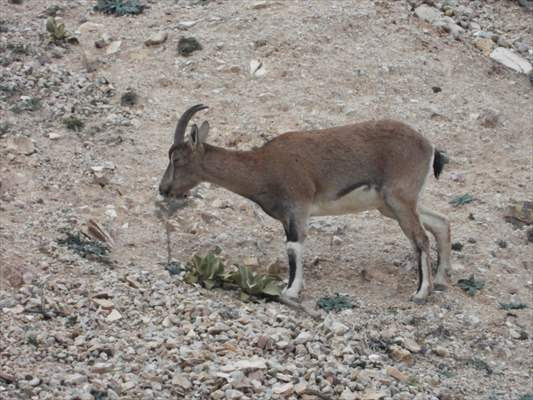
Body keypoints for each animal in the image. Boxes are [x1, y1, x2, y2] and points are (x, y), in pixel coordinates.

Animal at [158, 104, 448, 302]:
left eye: (177, 159)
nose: (164, 189)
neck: (261, 167)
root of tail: (429, 146)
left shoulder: (297, 208)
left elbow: (293, 247)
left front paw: (291, 290)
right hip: (391, 205)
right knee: (441, 222)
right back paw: (442, 278)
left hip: (399, 199)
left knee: (421, 238)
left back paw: (421, 292)